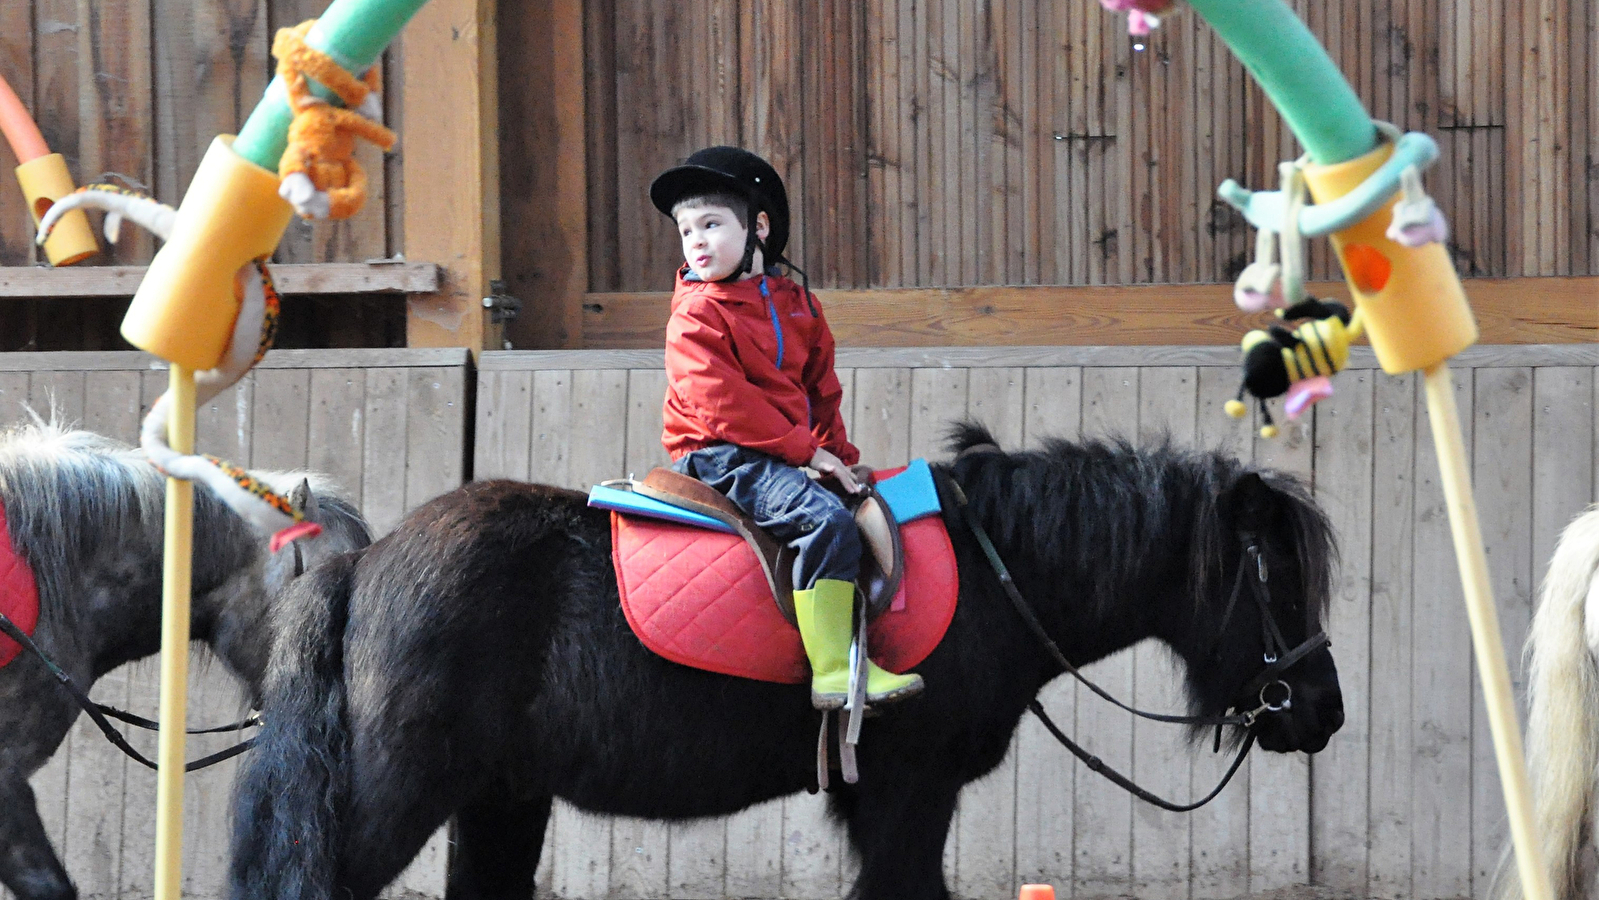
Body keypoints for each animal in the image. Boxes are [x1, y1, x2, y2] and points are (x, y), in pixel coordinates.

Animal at [231, 425, 1343, 900]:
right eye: (1276, 586)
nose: (1320, 711)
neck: (997, 570)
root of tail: (367, 563)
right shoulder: (909, 789)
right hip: (399, 793)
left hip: (500, 798)